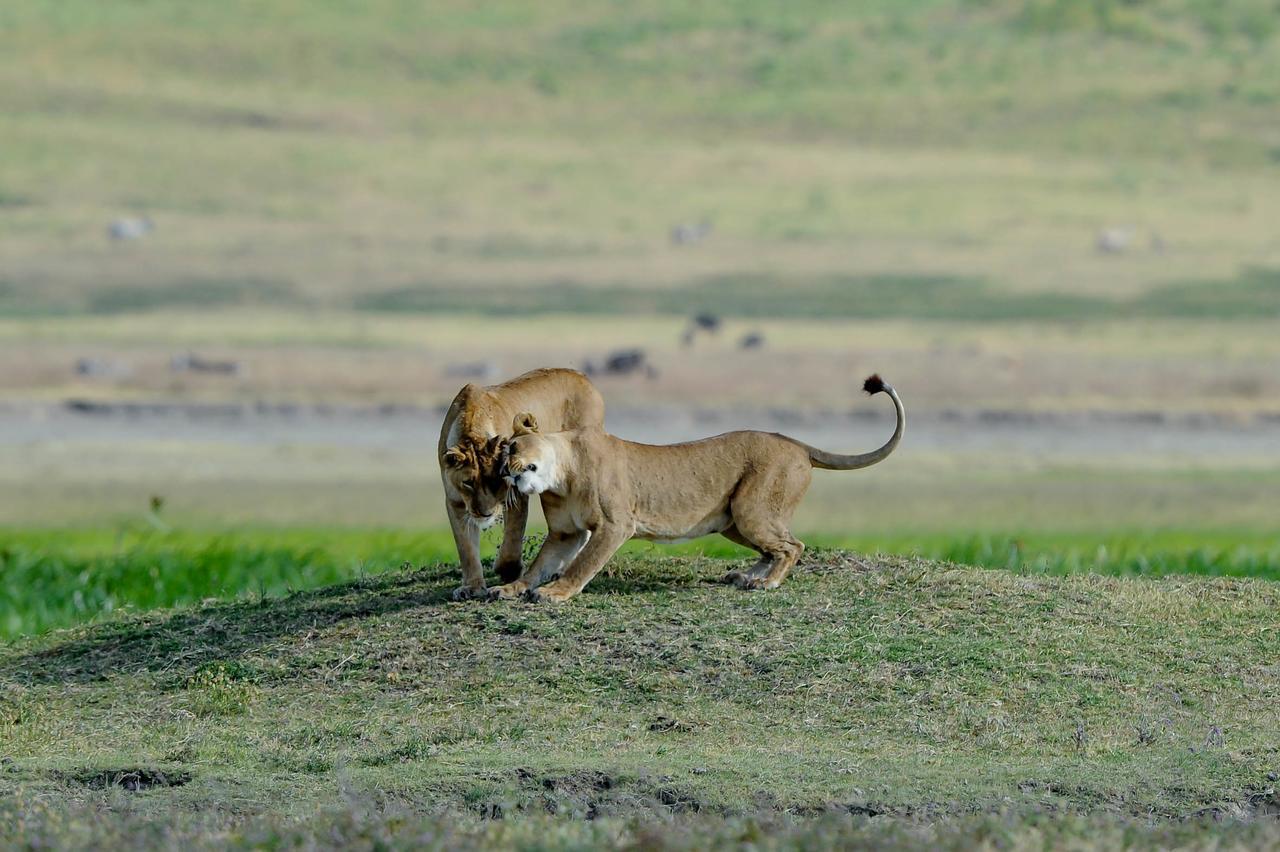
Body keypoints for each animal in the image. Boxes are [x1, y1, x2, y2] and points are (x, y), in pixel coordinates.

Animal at [440, 365, 604, 596]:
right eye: (468, 483)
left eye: (497, 480)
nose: (486, 514)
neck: (472, 427)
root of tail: (581, 375)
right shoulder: (455, 502)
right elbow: (466, 548)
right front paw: (471, 587)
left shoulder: (516, 494)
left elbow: (512, 540)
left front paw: (508, 571)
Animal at [486, 373, 901, 603]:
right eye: (501, 453)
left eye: (511, 448)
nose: (504, 472)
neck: (560, 476)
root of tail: (796, 443)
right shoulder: (565, 533)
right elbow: (540, 564)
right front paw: (511, 588)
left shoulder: (615, 524)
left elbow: (581, 565)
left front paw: (555, 593)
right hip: (733, 520)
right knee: (773, 547)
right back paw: (746, 576)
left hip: (751, 510)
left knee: (793, 546)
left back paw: (766, 583)